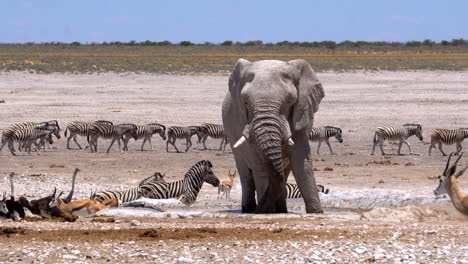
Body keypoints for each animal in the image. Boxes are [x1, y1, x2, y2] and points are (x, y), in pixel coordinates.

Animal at [221, 58, 324, 213]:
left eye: (289, 102)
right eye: (245, 103)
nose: (259, 209)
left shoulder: (301, 114)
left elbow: (301, 162)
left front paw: (317, 212)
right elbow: (260, 167)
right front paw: (265, 211)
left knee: (284, 172)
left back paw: (281, 210)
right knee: (245, 171)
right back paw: (249, 209)